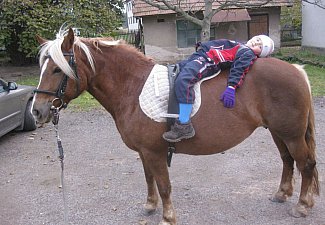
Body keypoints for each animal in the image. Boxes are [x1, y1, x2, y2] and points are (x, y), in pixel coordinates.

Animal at [31, 28, 318, 225]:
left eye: (57, 69)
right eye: (43, 67)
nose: (37, 111)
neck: (132, 86)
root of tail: (297, 70)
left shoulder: (155, 152)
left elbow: (164, 184)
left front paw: (168, 217)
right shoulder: (144, 152)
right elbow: (149, 179)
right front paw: (150, 206)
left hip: (291, 135)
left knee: (305, 164)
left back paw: (302, 205)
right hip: (279, 133)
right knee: (287, 160)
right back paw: (282, 194)